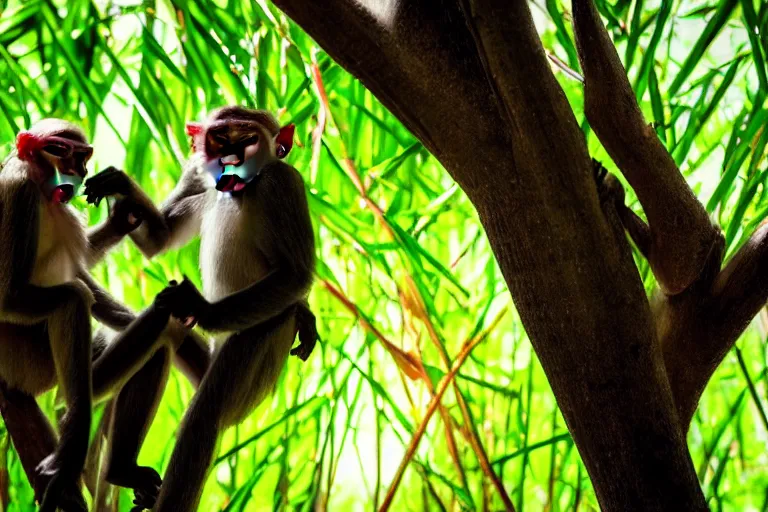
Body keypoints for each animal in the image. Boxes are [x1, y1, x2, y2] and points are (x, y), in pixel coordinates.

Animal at [0, 121, 210, 512]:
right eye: (59, 150)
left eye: (82, 156)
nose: (79, 170)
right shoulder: (18, 194)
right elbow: (22, 296)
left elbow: (82, 275)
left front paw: (123, 215)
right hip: (30, 363)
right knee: (77, 308)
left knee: (155, 347)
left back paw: (120, 470)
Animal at [85, 106, 320, 510]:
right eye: (220, 139)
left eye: (247, 139)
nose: (231, 159)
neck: (242, 192)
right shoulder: (199, 178)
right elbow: (160, 240)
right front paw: (121, 189)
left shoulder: (282, 182)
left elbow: (295, 276)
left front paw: (203, 309)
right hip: (203, 365)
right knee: (169, 330)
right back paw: (122, 470)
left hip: (257, 348)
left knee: (204, 417)